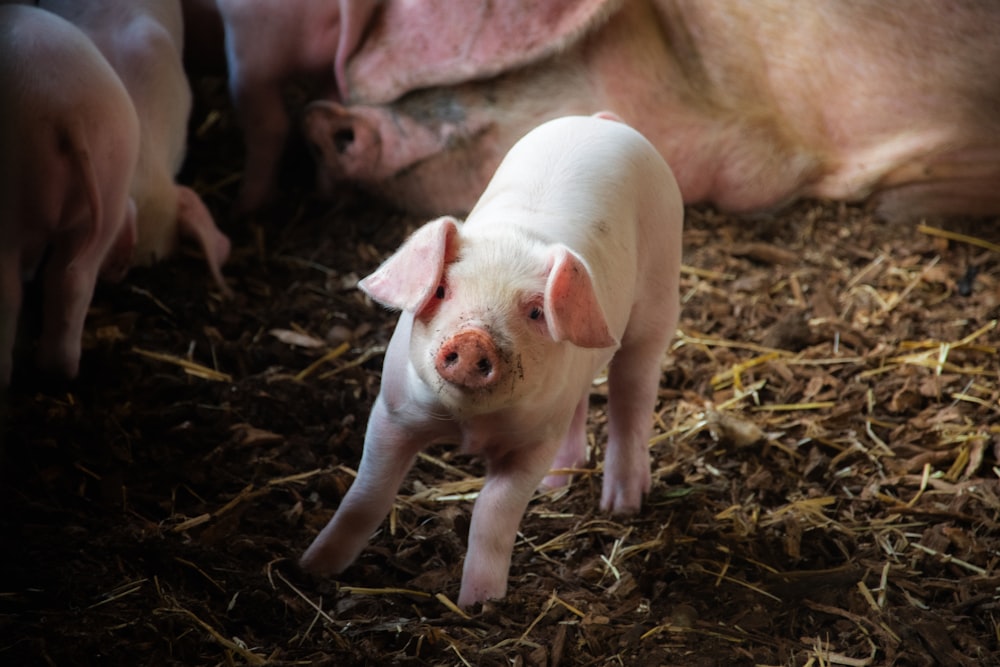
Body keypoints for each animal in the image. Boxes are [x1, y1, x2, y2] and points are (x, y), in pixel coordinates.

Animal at [0, 3, 141, 386]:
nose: (122, 270)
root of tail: (69, 114)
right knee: (71, 280)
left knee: (9, 291)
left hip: (12, 198)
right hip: (110, 184)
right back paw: (58, 372)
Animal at [300, 116, 684, 612]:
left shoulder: (534, 443)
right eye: (441, 290)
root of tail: (601, 120)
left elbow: (492, 512)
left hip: (659, 294)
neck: (470, 427)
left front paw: (478, 605)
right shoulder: (393, 412)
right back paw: (555, 487)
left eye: (536, 312)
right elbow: (366, 496)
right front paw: (311, 569)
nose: (473, 339)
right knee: (584, 400)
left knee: (631, 397)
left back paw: (621, 505)